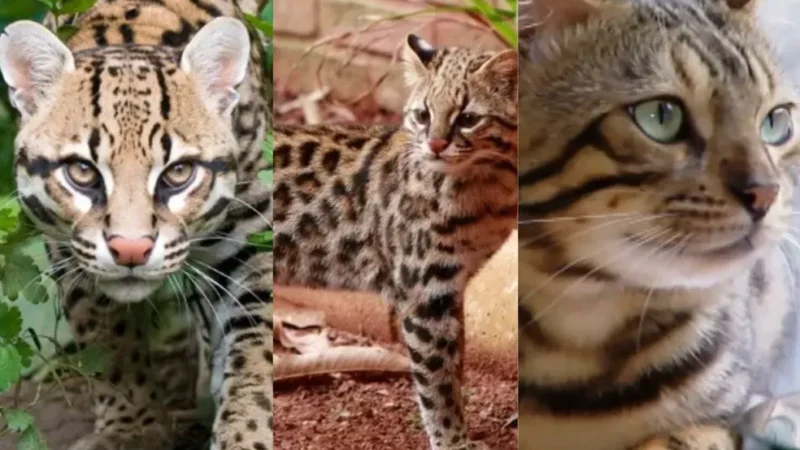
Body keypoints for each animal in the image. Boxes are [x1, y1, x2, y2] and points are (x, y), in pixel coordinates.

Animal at [0, 1, 273, 449]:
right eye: (82, 171)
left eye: (179, 172)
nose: (132, 250)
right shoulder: (69, 249)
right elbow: (107, 339)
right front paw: (132, 428)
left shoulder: (252, 232)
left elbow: (256, 345)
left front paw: (246, 433)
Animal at [273, 34, 517, 449]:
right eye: (422, 115)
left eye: (468, 118)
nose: (435, 145)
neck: (486, 186)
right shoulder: (423, 293)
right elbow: (436, 380)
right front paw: (453, 441)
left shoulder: (454, 285)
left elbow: (455, 364)